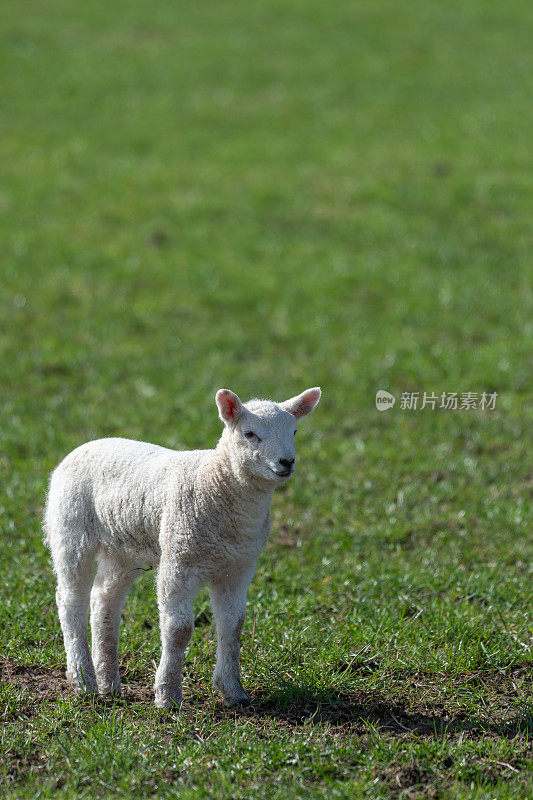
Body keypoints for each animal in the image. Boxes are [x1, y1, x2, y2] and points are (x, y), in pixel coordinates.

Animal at [43, 388, 320, 708]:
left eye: (295, 431)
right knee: (70, 601)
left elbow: (234, 625)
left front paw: (233, 691)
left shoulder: (238, 566)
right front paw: (167, 696)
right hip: (70, 531)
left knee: (104, 599)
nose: (286, 462)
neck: (216, 484)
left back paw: (108, 682)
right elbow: (179, 629)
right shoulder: (178, 559)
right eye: (250, 434)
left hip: (122, 549)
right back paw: (82, 680)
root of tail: (84, 445)